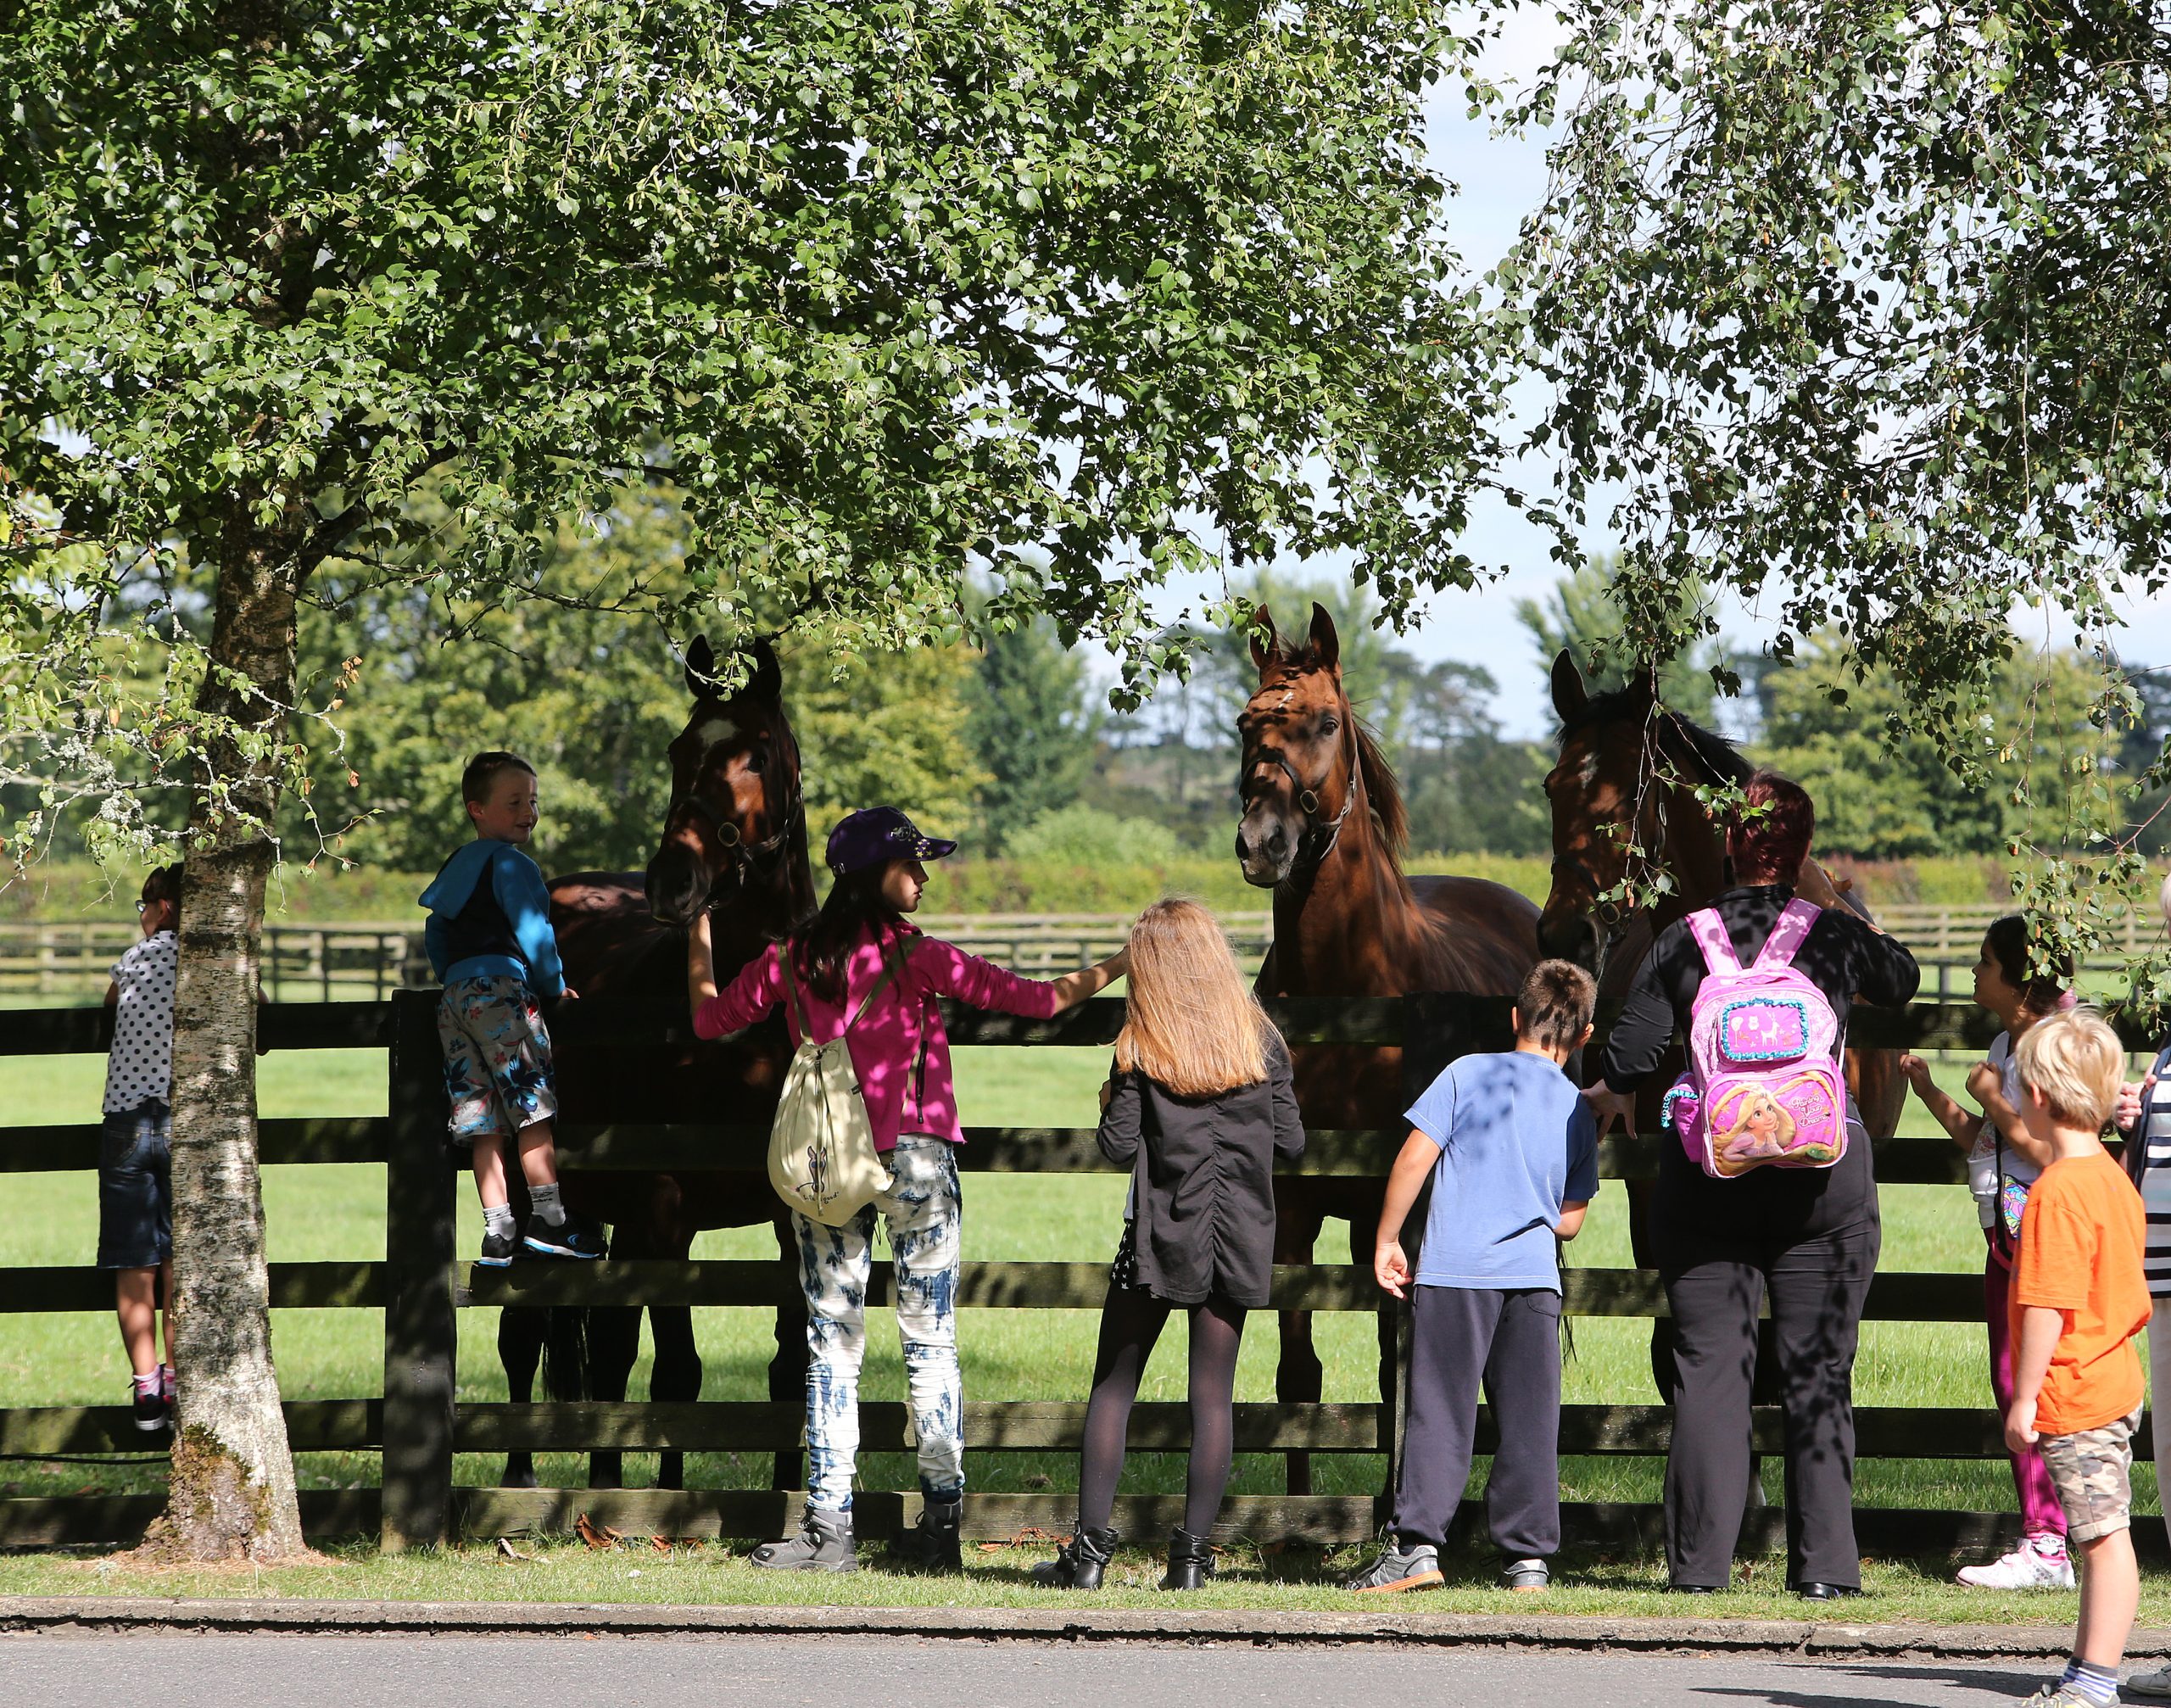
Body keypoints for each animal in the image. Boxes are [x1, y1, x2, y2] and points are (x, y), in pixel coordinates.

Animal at [497, 634, 816, 1493]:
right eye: (679, 750)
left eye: (758, 754)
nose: (675, 880)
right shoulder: (665, 1212)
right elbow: (676, 1373)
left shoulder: (795, 1215)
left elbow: (791, 1369)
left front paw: (793, 1492)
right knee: (529, 1337)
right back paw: (529, 1480)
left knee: (599, 1348)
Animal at [1242, 607, 1545, 1493]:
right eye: (1243, 724)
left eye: (1324, 722)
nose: (1262, 843)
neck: (1349, 1002)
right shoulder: (1299, 1209)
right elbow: (1299, 1377)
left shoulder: (1398, 1209)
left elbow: (1401, 1367)